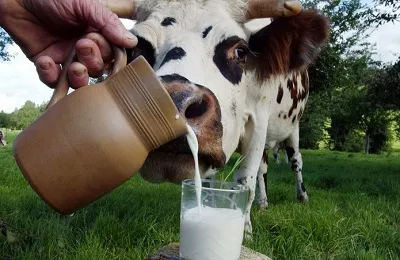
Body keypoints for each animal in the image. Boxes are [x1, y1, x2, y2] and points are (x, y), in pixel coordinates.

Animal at [111, 0, 328, 238]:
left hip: (293, 128)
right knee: (263, 169)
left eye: (240, 51)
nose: (173, 103)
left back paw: (302, 196)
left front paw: (245, 231)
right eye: (135, 49)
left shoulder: (258, 122)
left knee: (295, 161)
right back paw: (263, 203)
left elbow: (245, 182)